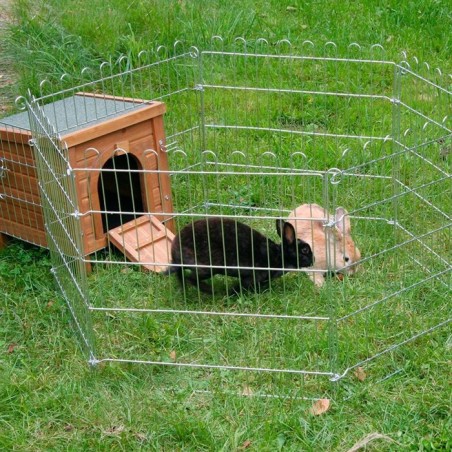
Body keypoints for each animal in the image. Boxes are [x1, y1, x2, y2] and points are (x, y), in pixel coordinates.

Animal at [167, 216, 314, 294]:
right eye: (305, 250)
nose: (313, 260)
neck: (279, 256)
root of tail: (176, 250)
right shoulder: (254, 276)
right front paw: (231, 293)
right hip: (209, 267)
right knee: (191, 278)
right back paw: (210, 291)